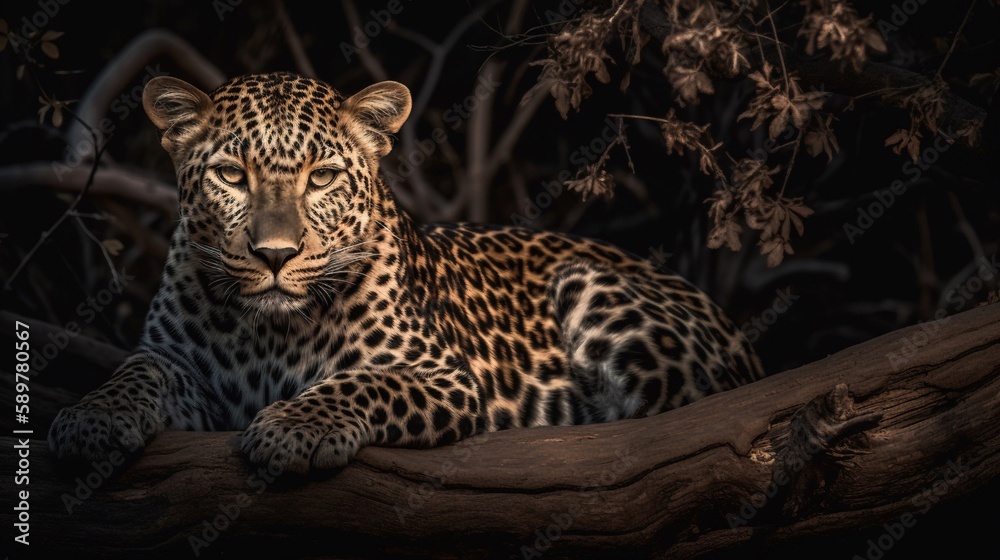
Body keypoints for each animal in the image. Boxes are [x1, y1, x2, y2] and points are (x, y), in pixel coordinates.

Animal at [47, 72, 765, 474]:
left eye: (322, 177)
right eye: (230, 174)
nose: (275, 254)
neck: (269, 331)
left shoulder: (442, 376)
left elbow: (362, 383)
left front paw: (293, 428)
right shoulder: (178, 365)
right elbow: (134, 374)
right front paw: (91, 420)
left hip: (589, 287)